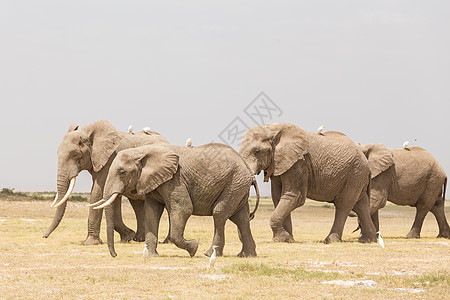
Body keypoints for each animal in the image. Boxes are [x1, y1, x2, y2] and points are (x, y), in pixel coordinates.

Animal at [91, 143, 258, 258]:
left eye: (122, 172)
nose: (115, 255)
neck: (142, 151)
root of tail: (249, 173)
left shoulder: (174, 179)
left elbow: (184, 208)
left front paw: (193, 248)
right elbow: (151, 212)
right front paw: (150, 256)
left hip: (234, 183)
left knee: (219, 214)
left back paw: (208, 254)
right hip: (238, 187)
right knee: (241, 218)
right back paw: (246, 256)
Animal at [239, 123, 376, 244]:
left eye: (257, 151)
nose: (251, 215)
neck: (273, 130)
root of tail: (367, 163)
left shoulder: (299, 162)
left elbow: (294, 197)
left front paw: (281, 239)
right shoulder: (280, 163)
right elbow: (278, 197)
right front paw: (288, 240)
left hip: (355, 173)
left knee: (343, 204)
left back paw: (330, 241)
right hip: (357, 177)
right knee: (361, 205)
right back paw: (368, 240)